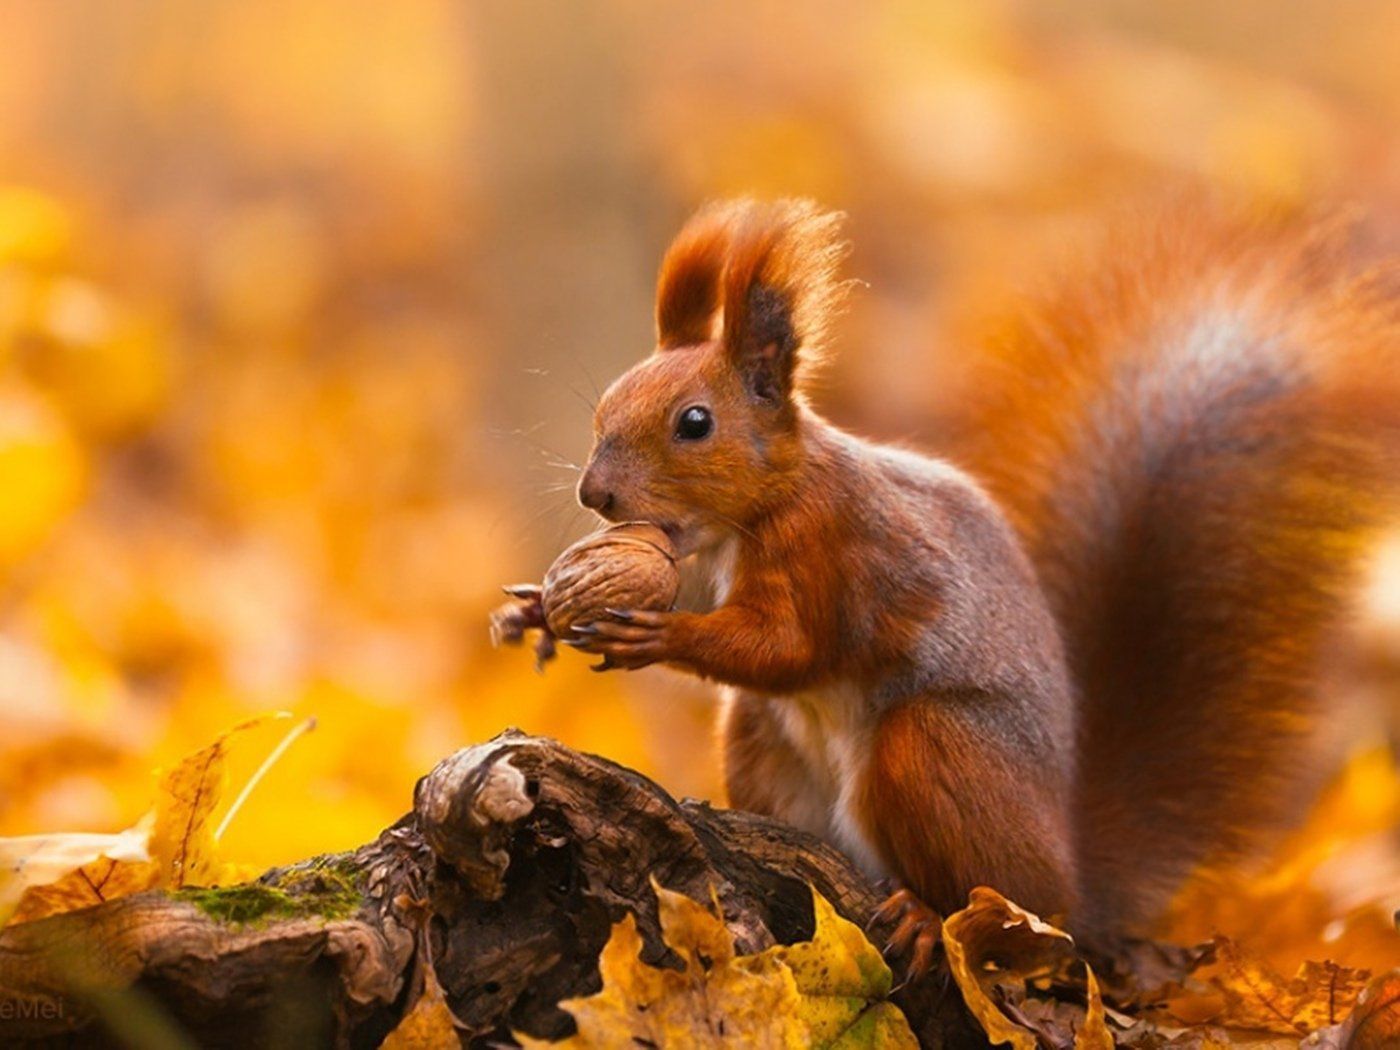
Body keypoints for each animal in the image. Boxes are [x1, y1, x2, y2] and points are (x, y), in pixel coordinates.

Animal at [495, 197, 1400, 968]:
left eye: (694, 423)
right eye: (606, 405)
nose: (596, 496)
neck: (751, 516)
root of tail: (1075, 878)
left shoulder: (835, 550)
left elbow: (789, 648)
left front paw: (657, 634)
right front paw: (537, 613)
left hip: (936, 750)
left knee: (996, 904)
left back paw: (932, 918)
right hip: (760, 742)